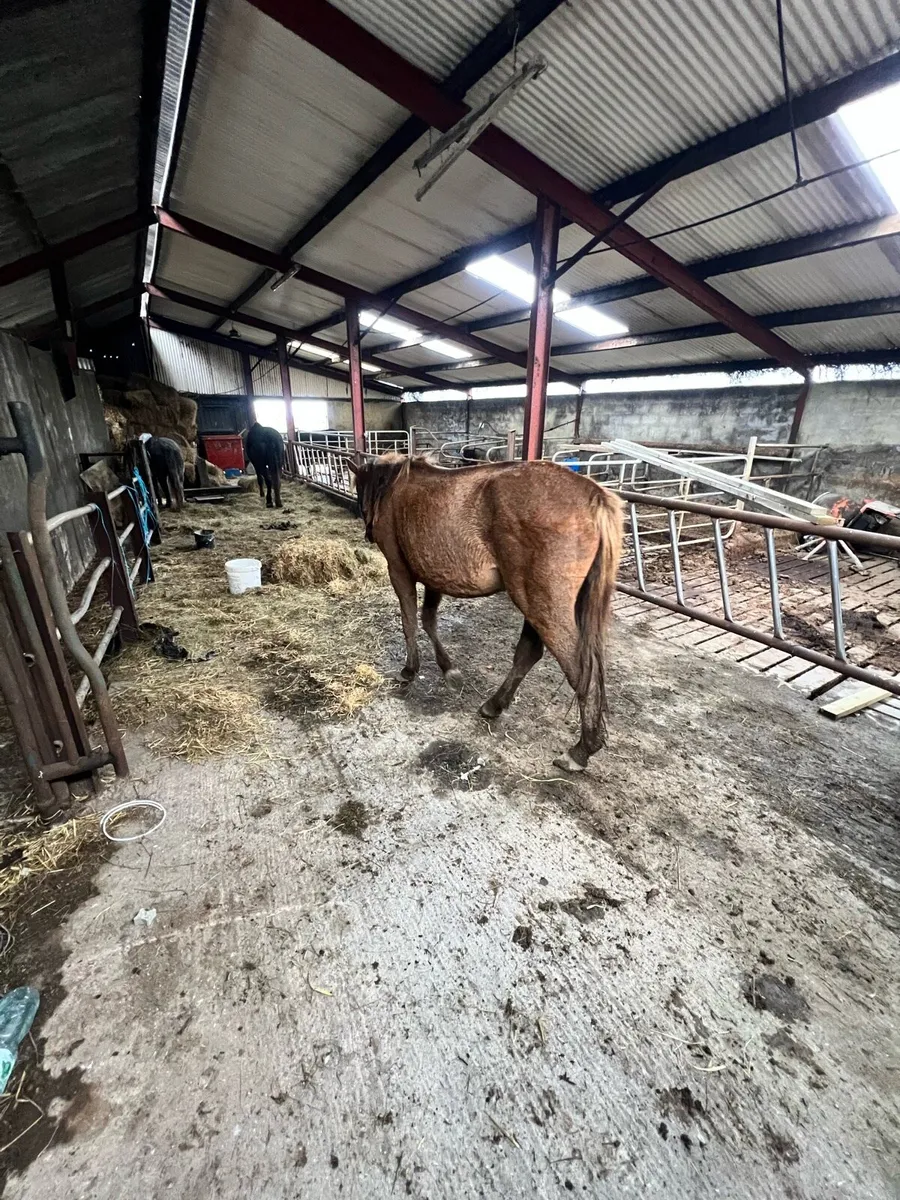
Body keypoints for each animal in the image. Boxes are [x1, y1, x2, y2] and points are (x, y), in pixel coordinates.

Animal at [349, 455, 623, 772]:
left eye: (359, 489)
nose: (367, 533)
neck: (393, 487)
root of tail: (594, 496)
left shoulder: (399, 571)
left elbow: (410, 622)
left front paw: (410, 669)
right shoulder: (433, 577)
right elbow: (429, 621)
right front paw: (448, 668)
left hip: (542, 603)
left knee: (580, 671)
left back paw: (581, 750)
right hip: (534, 601)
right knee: (528, 653)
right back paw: (495, 704)